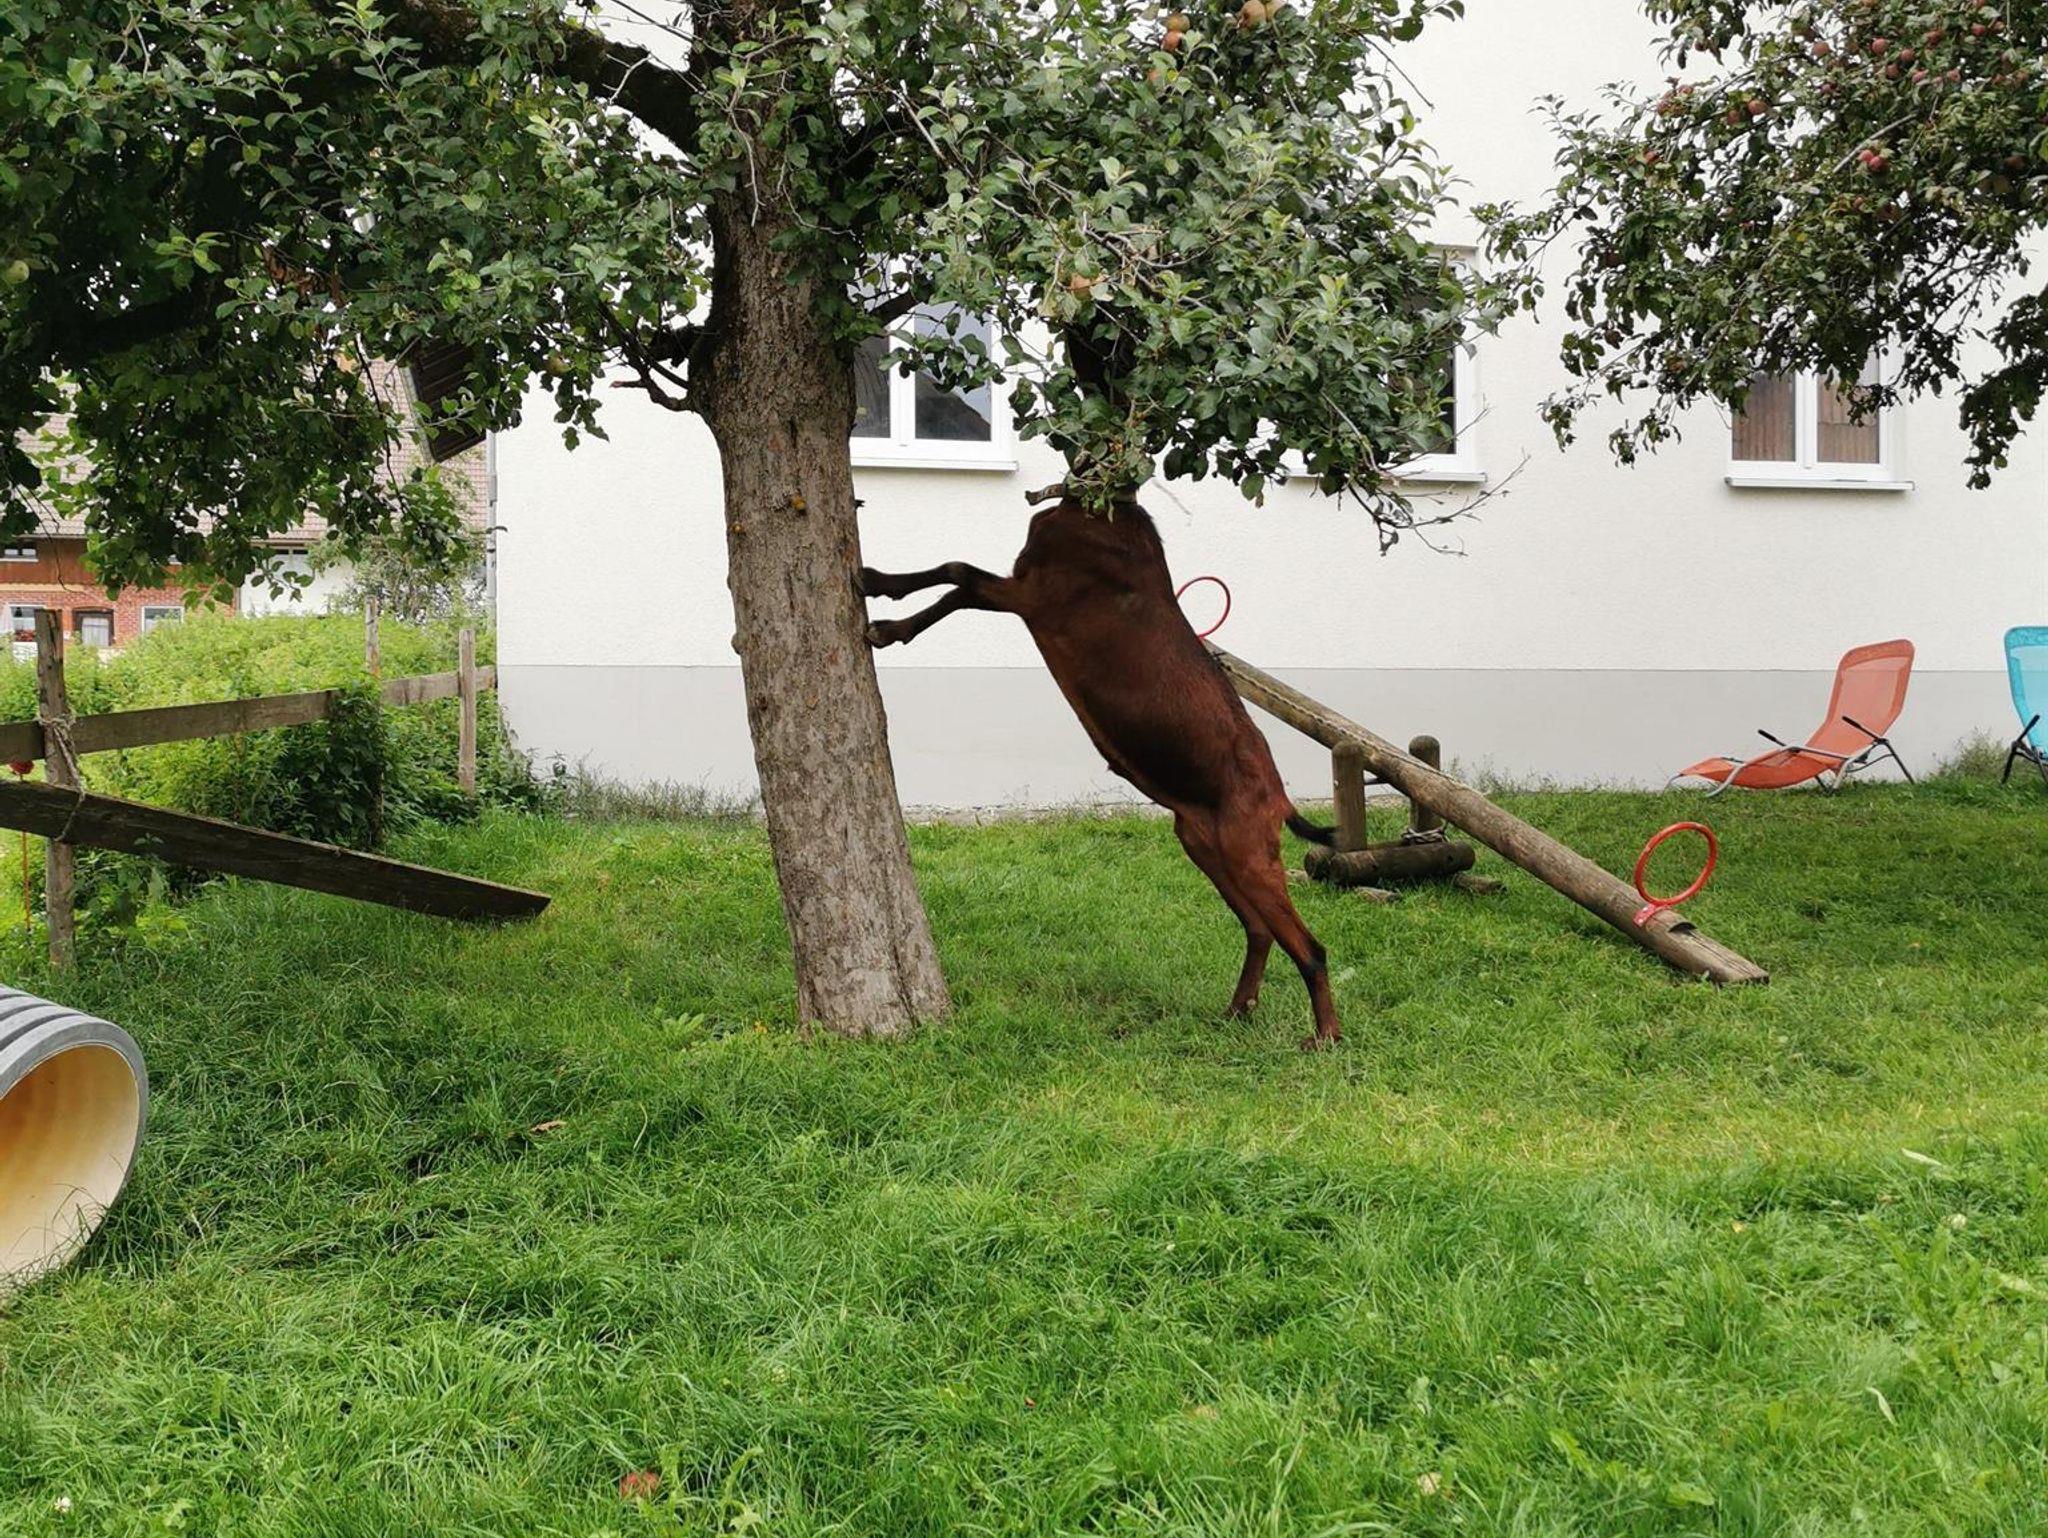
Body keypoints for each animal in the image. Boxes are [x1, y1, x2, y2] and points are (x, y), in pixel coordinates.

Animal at [860, 497, 1342, 1047]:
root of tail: (1280, 797)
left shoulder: (1031, 593)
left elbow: (959, 575)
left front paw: (883, 609)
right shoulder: (1022, 586)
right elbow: (955, 583)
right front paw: (882, 598)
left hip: (1249, 856)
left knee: (1311, 949)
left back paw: (1326, 1036)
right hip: (1205, 846)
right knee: (1259, 930)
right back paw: (1238, 1009)